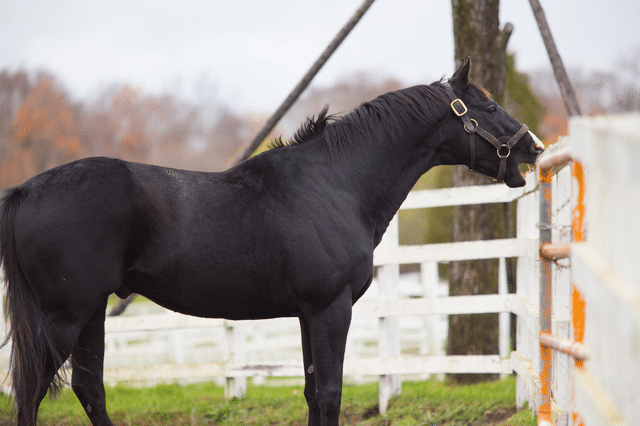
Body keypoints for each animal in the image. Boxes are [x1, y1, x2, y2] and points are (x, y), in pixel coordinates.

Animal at [0, 58, 544, 425]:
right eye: (488, 106)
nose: (534, 147)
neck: (335, 183)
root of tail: (25, 191)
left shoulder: (307, 313)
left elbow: (311, 391)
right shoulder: (330, 308)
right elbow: (329, 393)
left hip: (90, 312)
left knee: (88, 388)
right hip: (65, 317)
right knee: (32, 391)